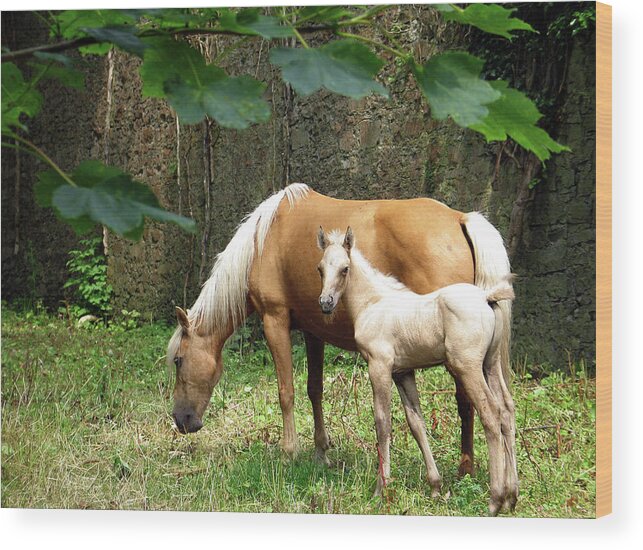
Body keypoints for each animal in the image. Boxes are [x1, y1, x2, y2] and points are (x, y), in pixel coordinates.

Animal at [316, 226, 520, 516]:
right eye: (320, 268)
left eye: (345, 269)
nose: (326, 303)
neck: (373, 303)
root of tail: (485, 296)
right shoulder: (403, 373)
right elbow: (416, 423)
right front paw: (435, 486)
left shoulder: (379, 366)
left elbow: (383, 423)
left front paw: (381, 488)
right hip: (490, 366)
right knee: (506, 412)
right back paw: (512, 496)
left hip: (468, 367)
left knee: (490, 415)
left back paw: (495, 499)